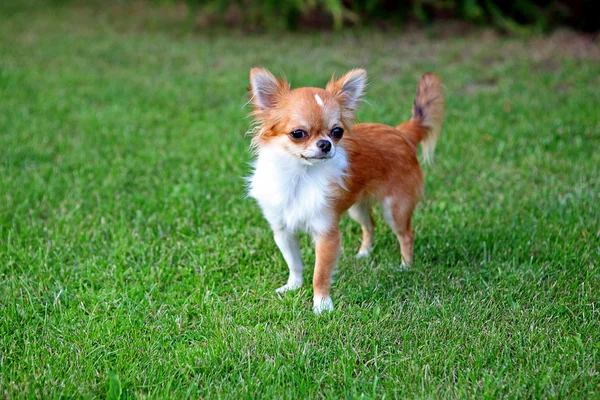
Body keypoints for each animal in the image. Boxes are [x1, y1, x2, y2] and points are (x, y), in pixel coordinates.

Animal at [246, 69, 442, 312]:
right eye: (298, 133)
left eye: (337, 131)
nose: (326, 144)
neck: (300, 175)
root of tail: (401, 133)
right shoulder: (283, 230)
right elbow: (294, 263)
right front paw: (293, 286)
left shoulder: (326, 234)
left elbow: (320, 274)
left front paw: (321, 306)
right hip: (357, 209)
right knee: (370, 225)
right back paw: (364, 254)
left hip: (395, 209)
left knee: (406, 234)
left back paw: (405, 266)